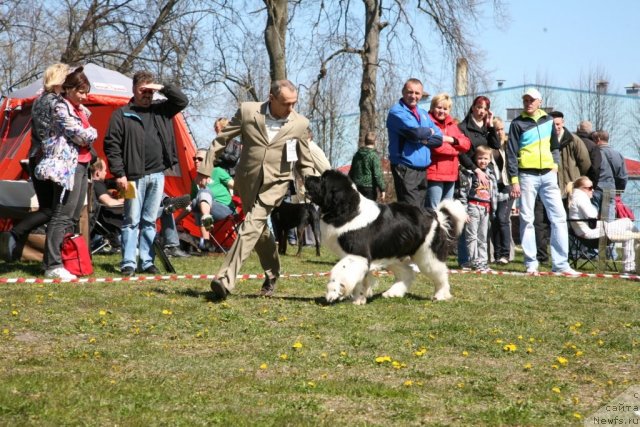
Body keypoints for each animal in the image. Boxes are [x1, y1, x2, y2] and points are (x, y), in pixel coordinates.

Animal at [304, 169, 464, 306]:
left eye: (322, 179)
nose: (306, 176)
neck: (349, 210)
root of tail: (436, 216)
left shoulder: (357, 255)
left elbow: (340, 271)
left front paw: (333, 292)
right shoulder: (362, 259)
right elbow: (361, 279)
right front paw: (359, 299)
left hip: (427, 255)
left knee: (440, 273)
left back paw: (440, 295)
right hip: (392, 252)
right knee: (408, 272)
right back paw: (393, 292)